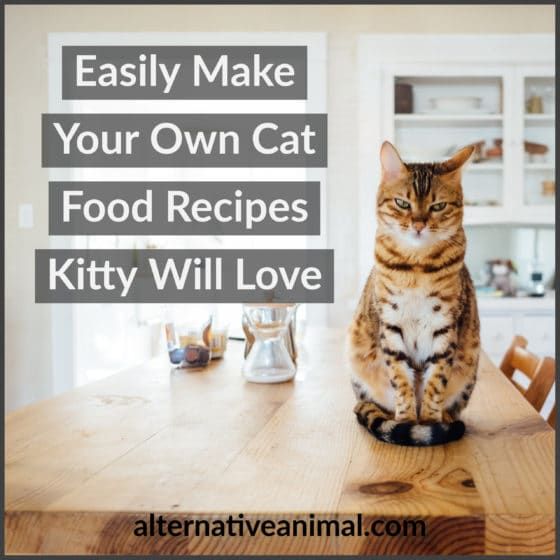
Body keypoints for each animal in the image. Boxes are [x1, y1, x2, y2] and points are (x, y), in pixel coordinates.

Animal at [348, 143, 480, 446]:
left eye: (438, 206)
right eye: (402, 204)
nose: (418, 224)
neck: (417, 267)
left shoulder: (445, 326)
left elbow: (436, 381)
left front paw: (430, 422)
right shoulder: (390, 325)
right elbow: (400, 379)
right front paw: (407, 420)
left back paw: (446, 419)